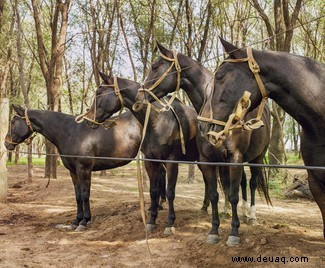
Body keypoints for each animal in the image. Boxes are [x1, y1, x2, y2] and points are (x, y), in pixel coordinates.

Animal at [4, 104, 167, 230]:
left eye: (13, 122)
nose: (6, 143)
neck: (69, 132)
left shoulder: (84, 169)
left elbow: (85, 194)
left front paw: (84, 221)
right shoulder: (73, 172)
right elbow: (77, 196)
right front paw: (76, 221)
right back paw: (158, 205)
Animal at [135, 43, 270, 246]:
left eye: (155, 66)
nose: (140, 95)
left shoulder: (235, 158)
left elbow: (233, 195)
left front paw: (234, 233)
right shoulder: (209, 160)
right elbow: (215, 194)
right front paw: (214, 230)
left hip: (257, 158)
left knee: (253, 182)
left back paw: (251, 215)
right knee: (242, 183)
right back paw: (239, 211)